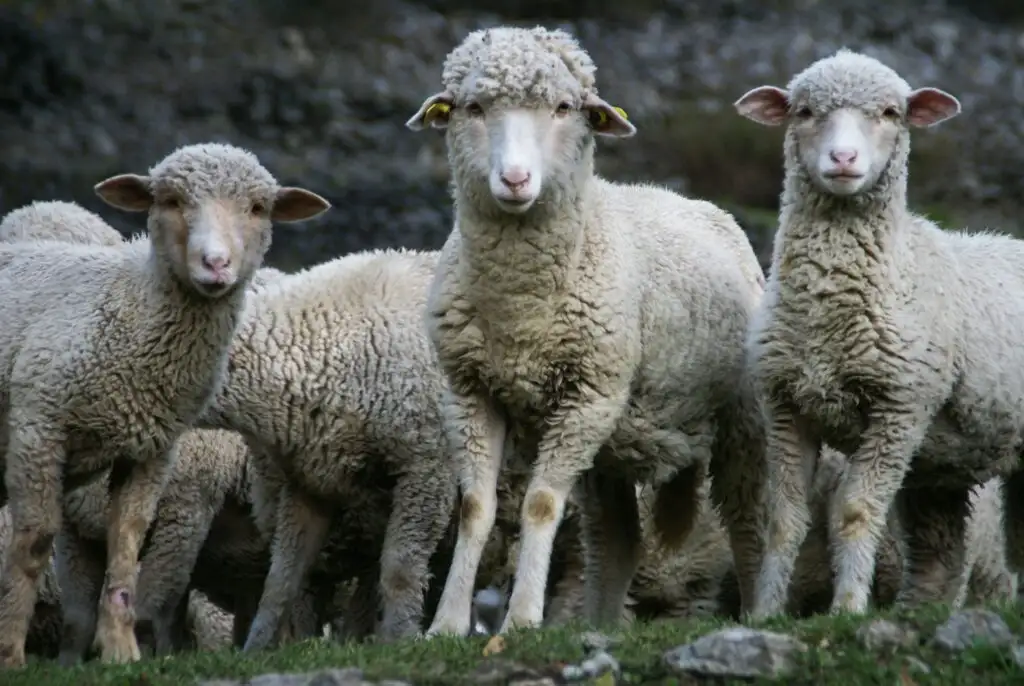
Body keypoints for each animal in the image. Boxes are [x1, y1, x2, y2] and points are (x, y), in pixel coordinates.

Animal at [0, 142, 330, 667]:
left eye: (258, 208)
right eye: (171, 201)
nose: (215, 264)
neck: (128, 308)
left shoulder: (159, 462)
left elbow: (129, 551)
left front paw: (123, 653)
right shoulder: (40, 430)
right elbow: (36, 549)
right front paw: (14, 654)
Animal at [197, 246, 457, 650]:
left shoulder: (428, 463)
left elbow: (400, 568)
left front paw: (399, 640)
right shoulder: (311, 481)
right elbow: (283, 580)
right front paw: (257, 648)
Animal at [406, 25, 767, 635]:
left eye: (563, 108)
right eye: (473, 108)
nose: (515, 179)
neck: (521, 310)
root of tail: (692, 201)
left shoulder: (587, 395)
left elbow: (541, 504)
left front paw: (522, 620)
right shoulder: (470, 391)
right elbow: (476, 508)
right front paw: (446, 626)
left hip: (738, 420)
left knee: (749, 521)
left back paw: (761, 610)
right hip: (614, 443)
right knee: (617, 540)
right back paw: (598, 625)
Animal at [734, 48, 1024, 618]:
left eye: (891, 113)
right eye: (804, 111)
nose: (843, 158)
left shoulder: (900, 409)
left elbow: (855, 510)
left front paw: (847, 609)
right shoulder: (785, 405)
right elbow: (784, 519)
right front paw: (765, 612)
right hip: (942, 465)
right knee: (937, 555)